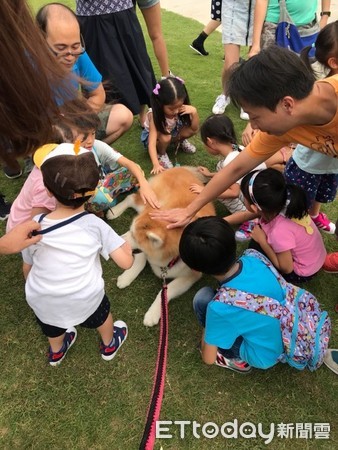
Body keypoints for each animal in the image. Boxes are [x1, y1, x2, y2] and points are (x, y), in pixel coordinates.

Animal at [107, 167, 215, 326]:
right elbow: (141, 259)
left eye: (134, 236)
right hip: (150, 202)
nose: (119, 241)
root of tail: (182, 169)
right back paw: (114, 211)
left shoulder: (192, 275)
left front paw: (153, 313)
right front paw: (128, 276)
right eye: (130, 232)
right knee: (131, 198)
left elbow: (165, 291)